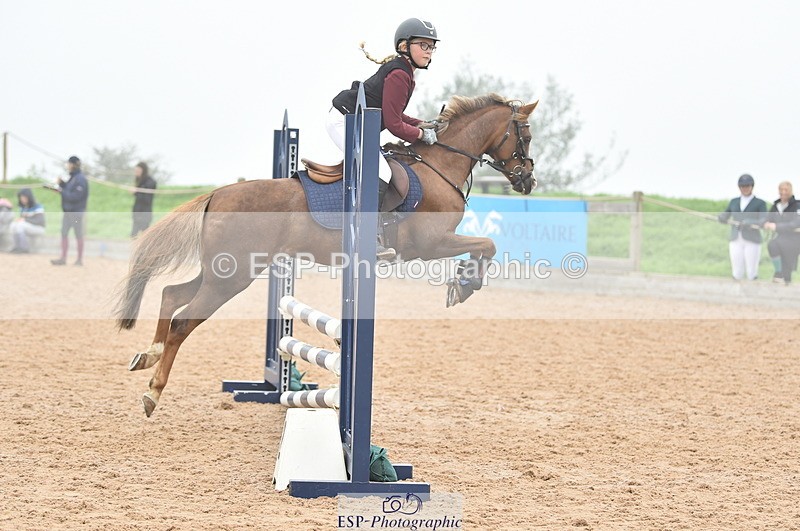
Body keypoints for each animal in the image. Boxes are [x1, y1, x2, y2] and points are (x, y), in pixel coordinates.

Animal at [115, 93, 539, 417]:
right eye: (526, 136)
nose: (528, 181)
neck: (439, 166)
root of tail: (218, 194)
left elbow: (485, 246)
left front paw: (462, 282)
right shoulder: (430, 243)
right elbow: (487, 245)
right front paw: (465, 285)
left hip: (222, 271)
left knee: (172, 294)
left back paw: (148, 355)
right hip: (231, 277)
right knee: (183, 323)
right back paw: (153, 392)